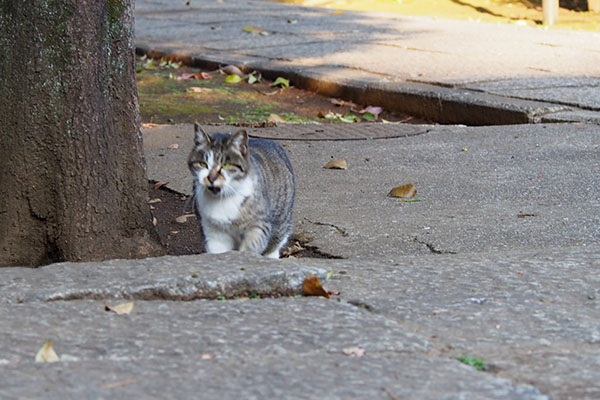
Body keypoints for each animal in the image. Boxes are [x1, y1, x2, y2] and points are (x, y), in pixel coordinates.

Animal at [188, 122, 296, 260]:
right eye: (202, 164)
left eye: (226, 165)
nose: (211, 178)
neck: (222, 199)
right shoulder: (213, 231)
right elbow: (217, 252)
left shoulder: (260, 224)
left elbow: (252, 245)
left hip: (281, 221)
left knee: (274, 244)